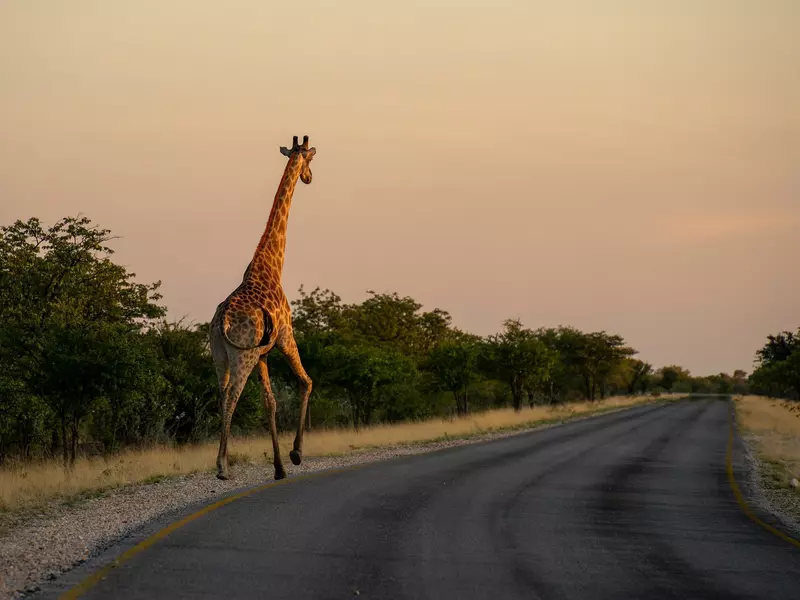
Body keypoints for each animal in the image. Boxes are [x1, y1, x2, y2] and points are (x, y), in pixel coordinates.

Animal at [209, 135, 316, 481]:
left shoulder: (263, 355)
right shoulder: (285, 337)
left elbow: (270, 402)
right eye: (310, 158)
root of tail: (222, 322)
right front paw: (296, 454)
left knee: (221, 393)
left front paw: (279, 467)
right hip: (241, 355)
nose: (308, 177)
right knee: (232, 396)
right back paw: (222, 467)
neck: (271, 265)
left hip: (220, 354)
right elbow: (306, 382)